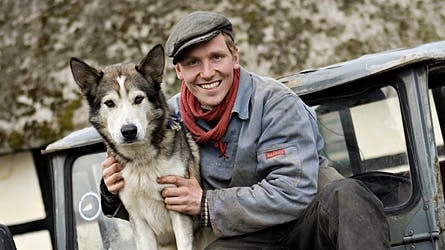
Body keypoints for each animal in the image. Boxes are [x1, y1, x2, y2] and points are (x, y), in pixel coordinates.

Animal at [69, 45, 203, 250]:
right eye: (109, 103)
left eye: (139, 99)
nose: (129, 131)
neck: (141, 161)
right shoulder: (139, 221)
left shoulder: (179, 208)